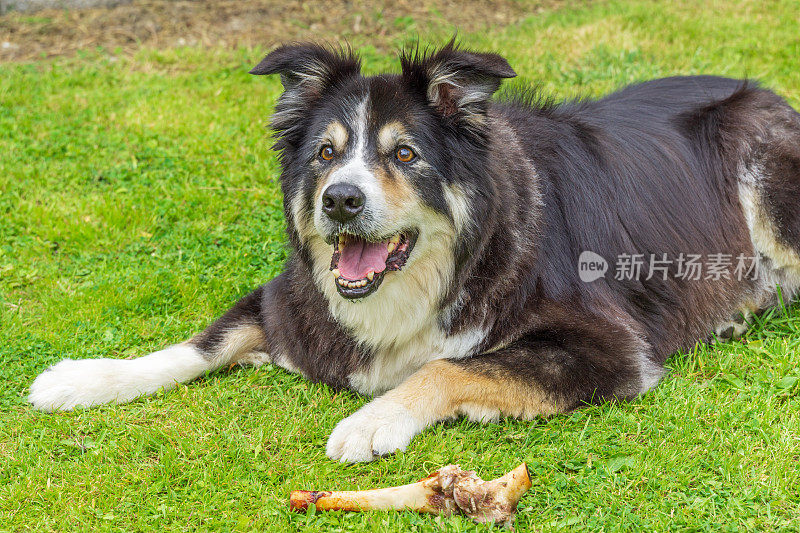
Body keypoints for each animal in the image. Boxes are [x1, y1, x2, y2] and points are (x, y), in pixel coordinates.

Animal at [28, 42, 800, 462]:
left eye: (405, 154)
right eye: (326, 154)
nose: (340, 200)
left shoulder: (610, 345)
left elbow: (448, 366)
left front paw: (372, 421)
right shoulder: (290, 300)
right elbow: (198, 344)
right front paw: (85, 379)